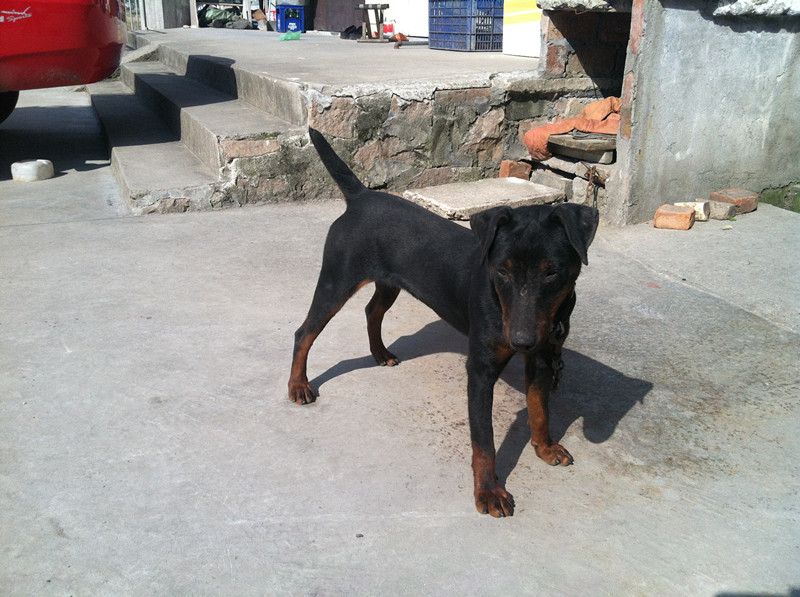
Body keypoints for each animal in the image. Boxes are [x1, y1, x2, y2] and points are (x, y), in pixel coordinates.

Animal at [289, 128, 599, 517]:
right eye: (502, 270)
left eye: (552, 272)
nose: (521, 340)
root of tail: (360, 197)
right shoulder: (480, 370)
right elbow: (484, 441)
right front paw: (488, 492)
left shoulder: (543, 357)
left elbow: (539, 408)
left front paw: (544, 448)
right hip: (337, 280)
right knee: (305, 331)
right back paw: (298, 385)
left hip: (389, 281)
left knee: (372, 311)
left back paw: (379, 353)